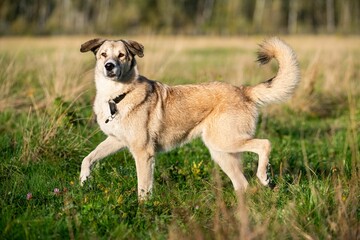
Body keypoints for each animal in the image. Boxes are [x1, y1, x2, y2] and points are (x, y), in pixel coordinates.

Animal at [79, 36, 300, 200]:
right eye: (103, 55)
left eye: (122, 55)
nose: (109, 66)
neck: (117, 96)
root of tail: (243, 90)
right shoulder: (116, 141)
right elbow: (87, 159)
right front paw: (83, 182)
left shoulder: (143, 153)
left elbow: (143, 188)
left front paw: (144, 211)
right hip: (221, 152)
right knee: (242, 184)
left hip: (225, 141)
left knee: (265, 144)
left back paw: (264, 176)